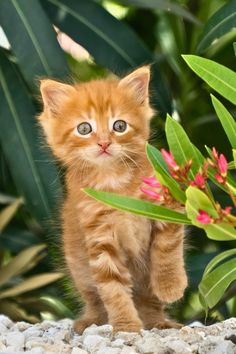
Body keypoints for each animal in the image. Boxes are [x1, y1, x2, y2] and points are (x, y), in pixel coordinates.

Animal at [38, 65, 187, 332]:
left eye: (119, 126)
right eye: (84, 129)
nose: (104, 143)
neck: (114, 181)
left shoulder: (165, 205)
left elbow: (167, 248)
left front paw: (170, 285)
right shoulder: (100, 235)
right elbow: (112, 286)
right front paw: (126, 326)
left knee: (149, 301)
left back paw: (159, 322)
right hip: (79, 269)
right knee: (95, 299)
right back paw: (90, 321)